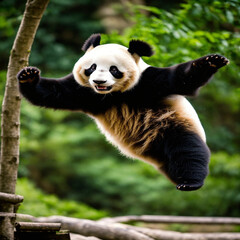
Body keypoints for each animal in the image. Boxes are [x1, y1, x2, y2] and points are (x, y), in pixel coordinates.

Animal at [16, 33, 229, 191]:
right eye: (91, 68)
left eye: (113, 70)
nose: (99, 81)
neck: (112, 95)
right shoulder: (83, 91)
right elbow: (53, 93)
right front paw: (28, 76)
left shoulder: (149, 82)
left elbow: (182, 79)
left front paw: (211, 61)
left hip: (171, 125)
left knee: (188, 150)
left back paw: (190, 182)